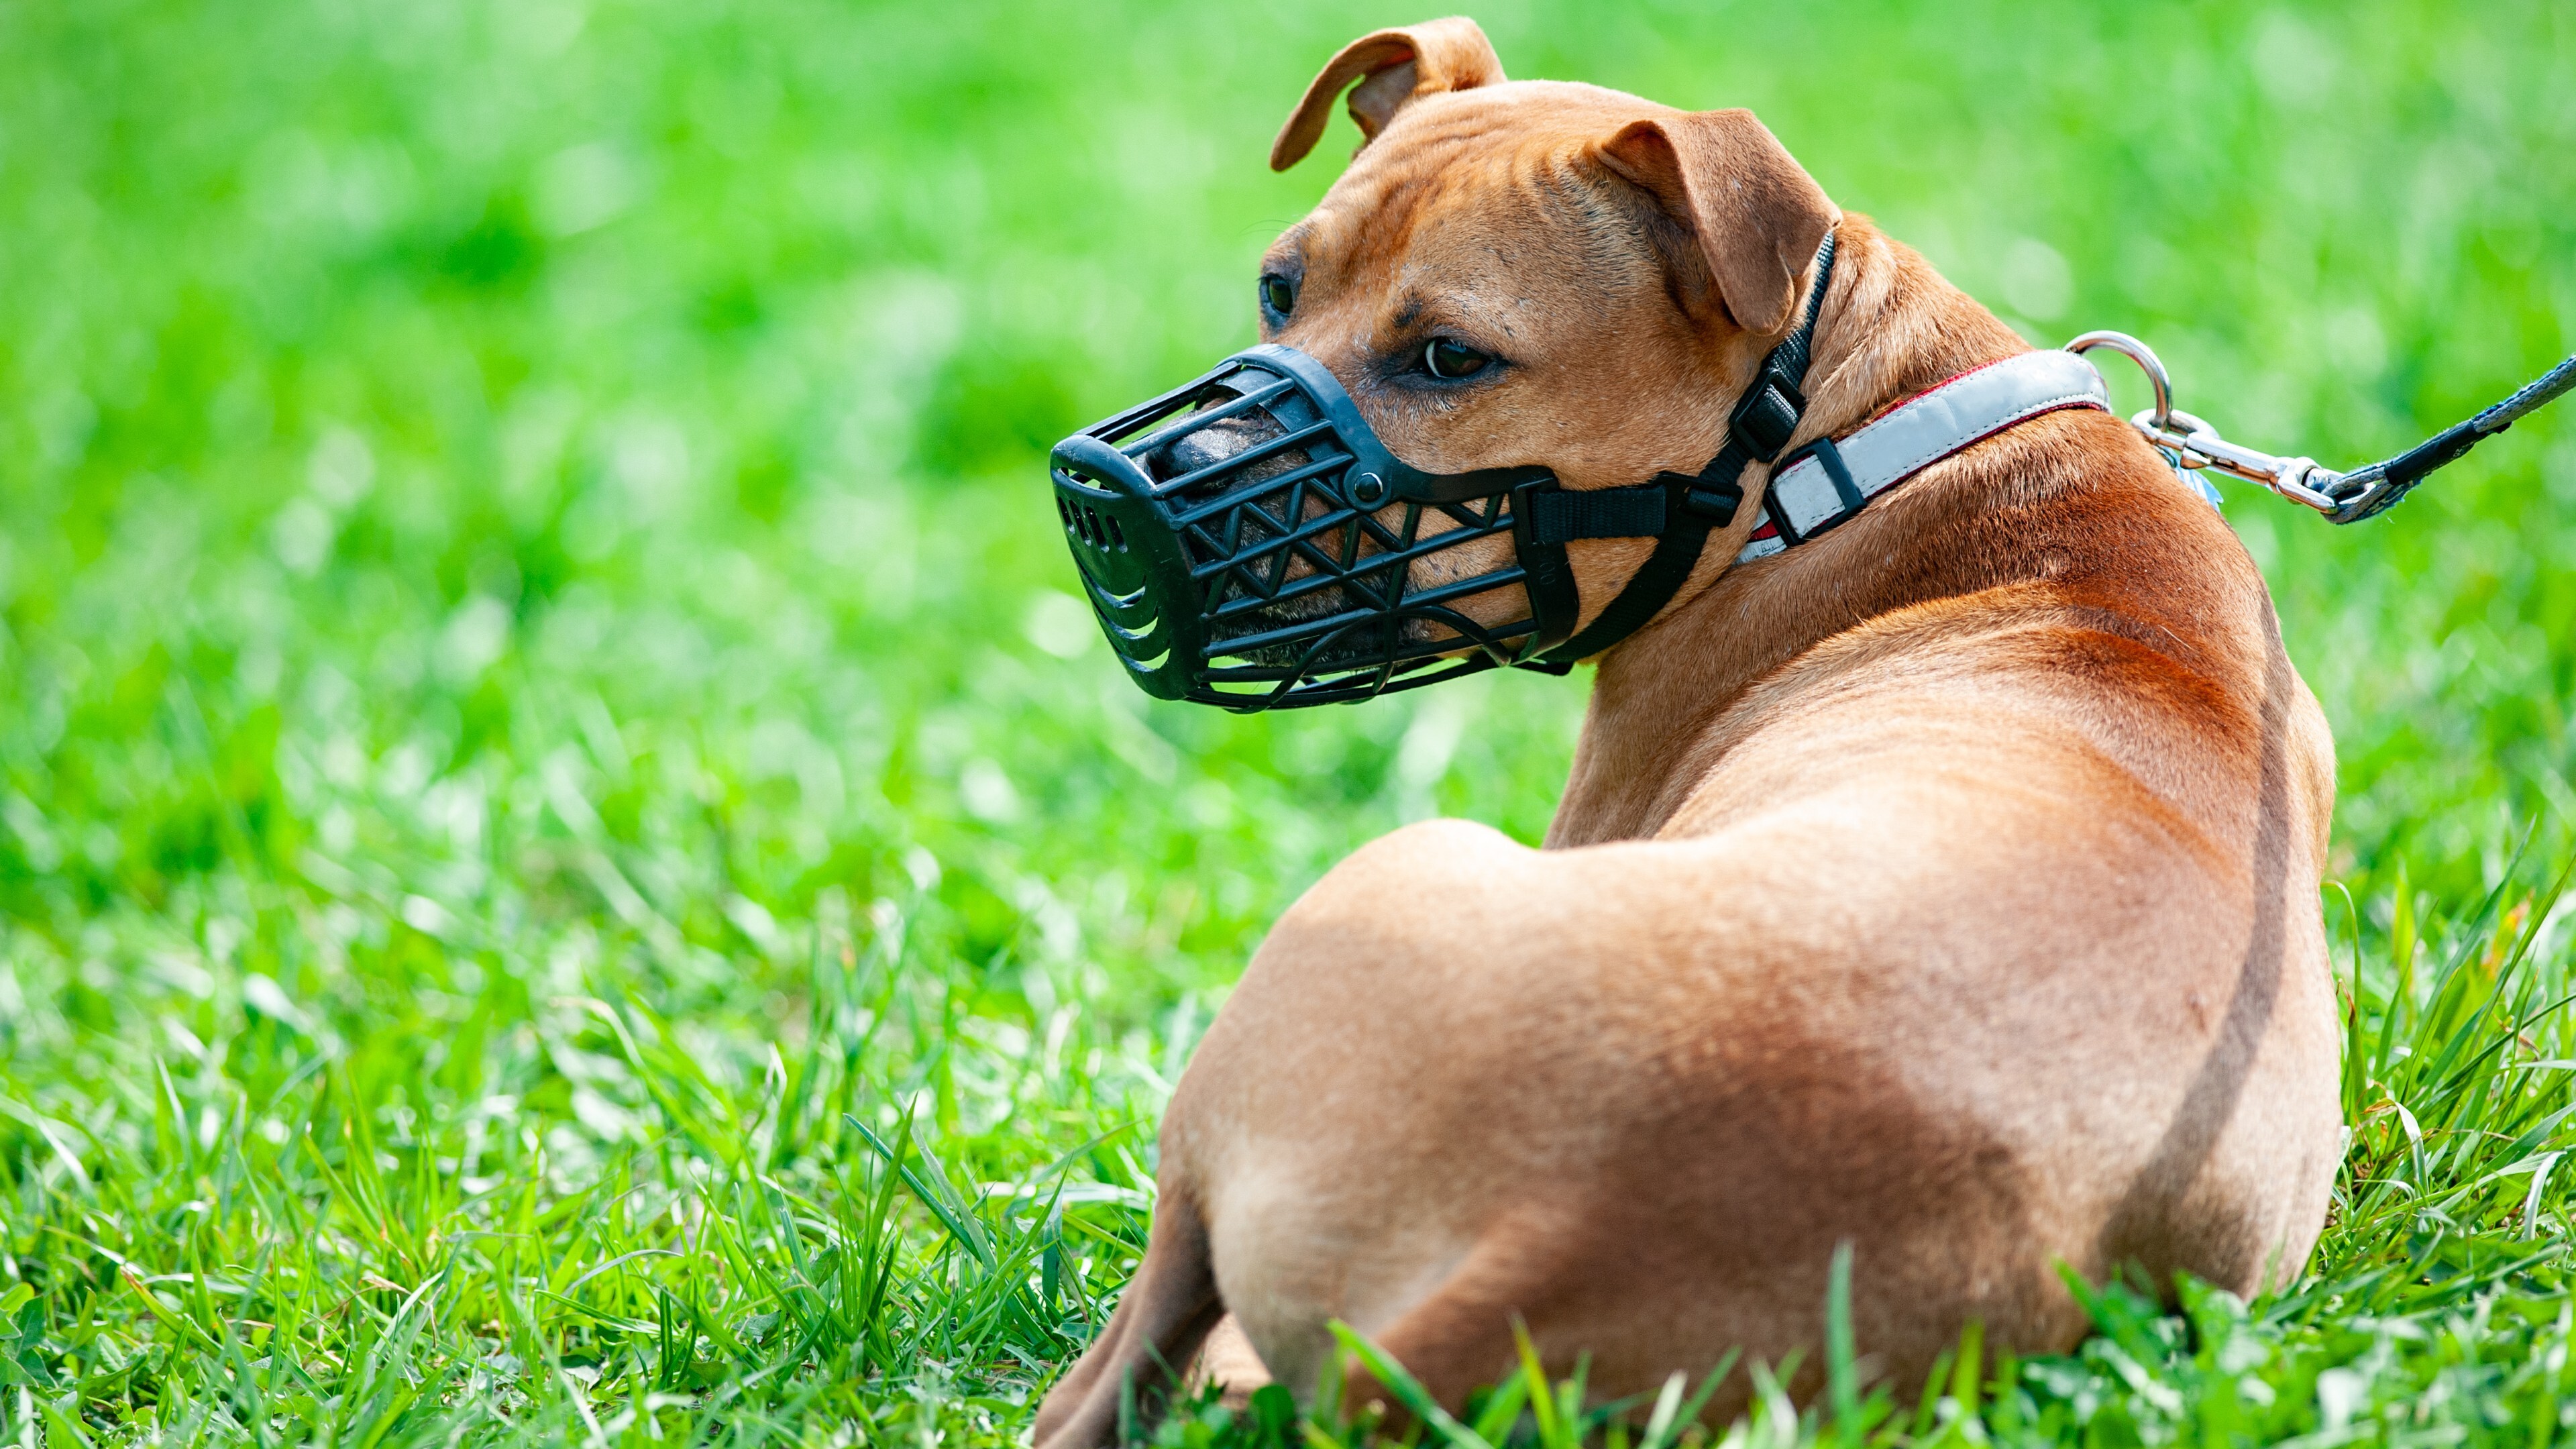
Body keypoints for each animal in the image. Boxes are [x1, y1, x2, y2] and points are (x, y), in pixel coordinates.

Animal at [1025, 17, 2339, 1433]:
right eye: (1280, 292)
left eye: (1451, 359)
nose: (1118, 493)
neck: (1831, 450)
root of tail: (1546, 1242)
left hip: (1369, 909)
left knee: (1106, 1374)